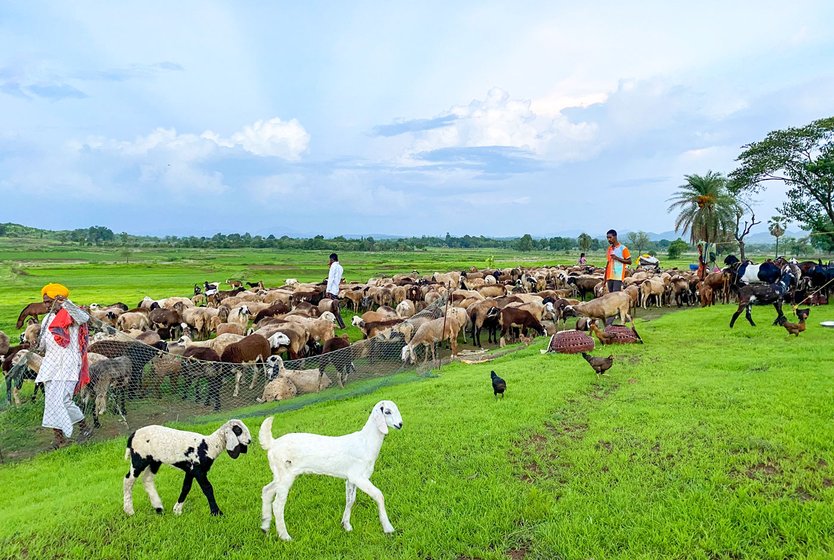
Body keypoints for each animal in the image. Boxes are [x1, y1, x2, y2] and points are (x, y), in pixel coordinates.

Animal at [260, 400, 404, 540]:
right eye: (387, 411)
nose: (400, 424)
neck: (365, 442)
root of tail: (272, 443)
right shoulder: (358, 476)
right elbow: (379, 495)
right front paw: (388, 528)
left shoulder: (350, 479)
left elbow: (350, 500)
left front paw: (346, 525)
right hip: (285, 474)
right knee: (277, 505)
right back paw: (285, 536)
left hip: (279, 475)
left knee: (267, 490)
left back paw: (265, 527)